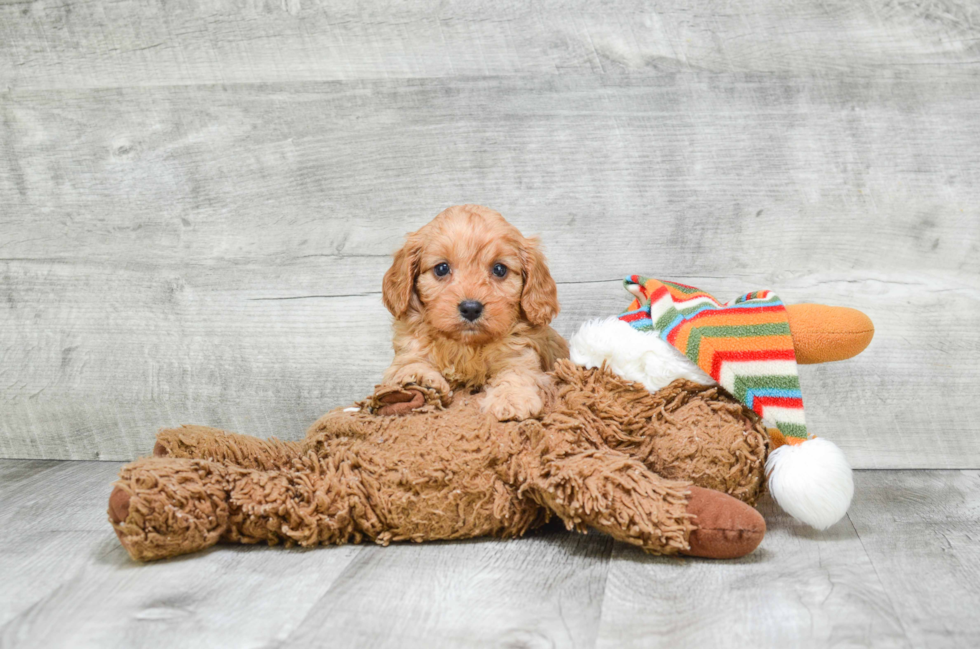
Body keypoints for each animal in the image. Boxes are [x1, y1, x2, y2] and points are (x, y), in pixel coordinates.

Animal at [380, 205, 568, 422]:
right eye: (441, 268)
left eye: (500, 269)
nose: (471, 308)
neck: (466, 345)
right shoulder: (409, 347)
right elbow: (409, 364)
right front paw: (420, 380)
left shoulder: (520, 352)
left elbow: (516, 372)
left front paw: (511, 399)